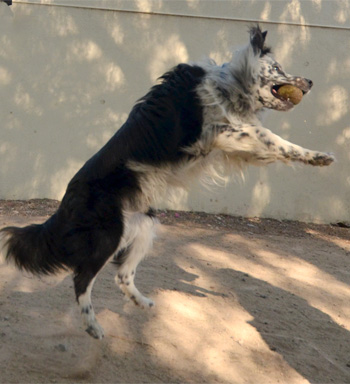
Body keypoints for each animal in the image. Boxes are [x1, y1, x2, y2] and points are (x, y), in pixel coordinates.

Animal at [0, 26, 334, 340]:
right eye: (277, 67)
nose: (310, 82)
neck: (232, 82)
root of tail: (65, 202)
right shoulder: (216, 134)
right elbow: (271, 137)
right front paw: (318, 156)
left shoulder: (228, 145)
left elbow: (270, 146)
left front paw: (311, 159)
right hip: (108, 234)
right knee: (82, 280)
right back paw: (93, 326)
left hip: (143, 224)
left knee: (122, 275)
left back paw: (142, 302)